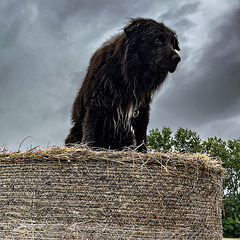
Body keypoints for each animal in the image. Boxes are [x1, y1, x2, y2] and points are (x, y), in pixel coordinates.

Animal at [64, 18, 181, 152]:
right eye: (157, 40)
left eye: (172, 44)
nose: (177, 58)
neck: (127, 76)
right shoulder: (95, 104)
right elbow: (90, 132)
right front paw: (88, 149)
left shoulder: (142, 109)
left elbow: (141, 136)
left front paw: (143, 152)